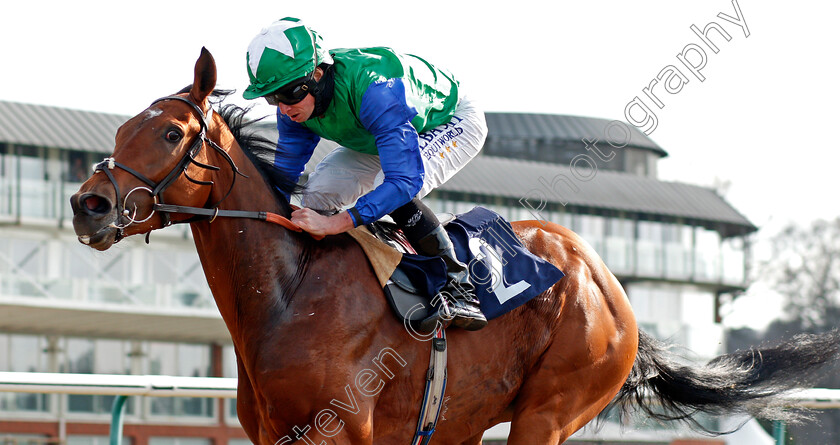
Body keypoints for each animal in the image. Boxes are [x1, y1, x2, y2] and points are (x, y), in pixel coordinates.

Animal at [69, 46, 836, 442]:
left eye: (170, 132)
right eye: (121, 131)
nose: (88, 204)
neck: (289, 294)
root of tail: (606, 282)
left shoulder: (338, 433)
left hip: (550, 411)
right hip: (465, 416)